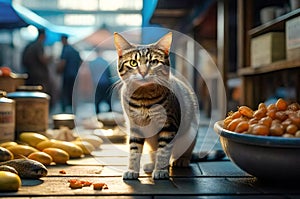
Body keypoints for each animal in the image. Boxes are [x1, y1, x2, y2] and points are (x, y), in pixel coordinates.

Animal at [113, 31, 199, 180]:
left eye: (153, 62)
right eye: (133, 63)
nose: (143, 72)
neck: (143, 97)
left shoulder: (169, 125)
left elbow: (163, 151)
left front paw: (160, 170)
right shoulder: (135, 126)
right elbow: (134, 150)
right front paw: (132, 170)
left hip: (190, 134)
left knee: (181, 153)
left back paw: (181, 160)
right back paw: (151, 165)